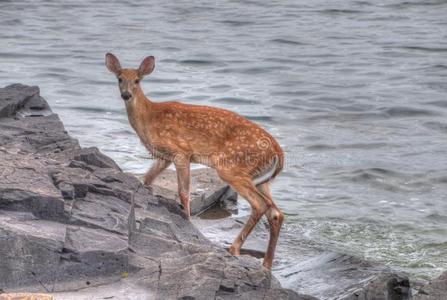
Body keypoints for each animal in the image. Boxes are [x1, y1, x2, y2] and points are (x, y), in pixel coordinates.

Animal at [106, 52, 284, 270]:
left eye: (137, 80)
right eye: (119, 79)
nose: (126, 95)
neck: (149, 118)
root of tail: (279, 153)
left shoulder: (181, 152)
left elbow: (184, 192)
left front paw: (189, 223)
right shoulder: (164, 157)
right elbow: (147, 179)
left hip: (232, 167)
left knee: (260, 205)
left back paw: (234, 249)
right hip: (261, 179)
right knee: (276, 213)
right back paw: (266, 263)